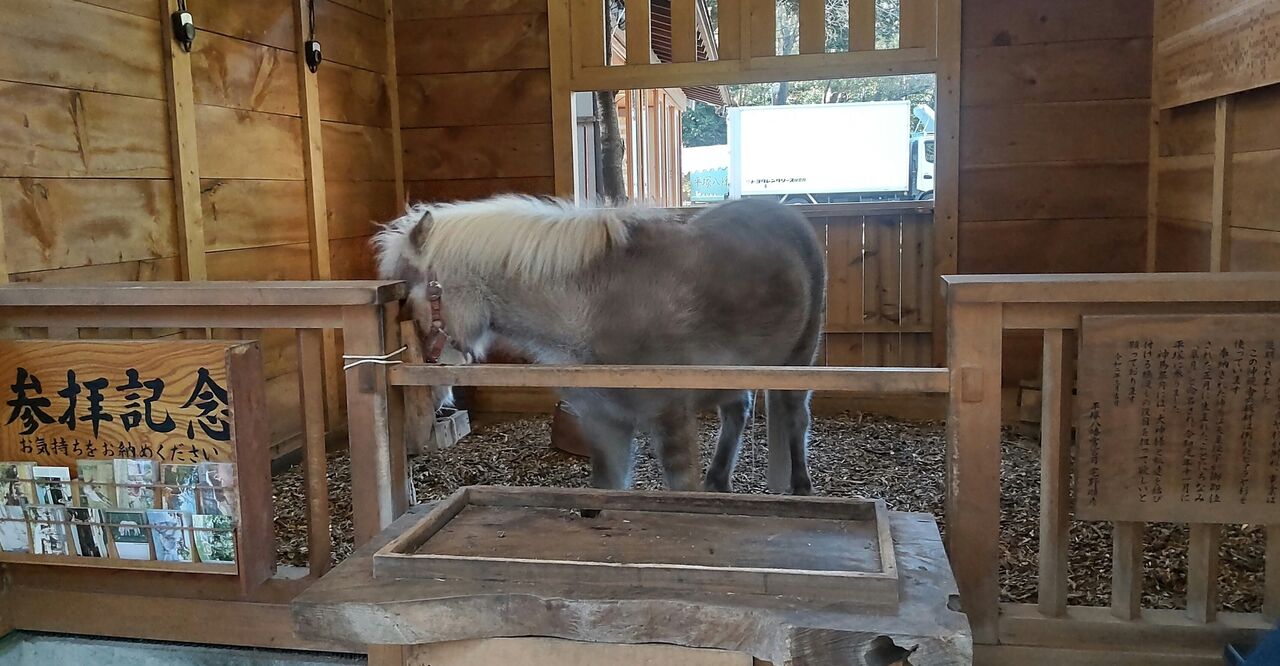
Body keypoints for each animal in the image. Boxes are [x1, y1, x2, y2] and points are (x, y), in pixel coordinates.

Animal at [373, 193, 824, 494]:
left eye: (406, 301)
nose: (424, 398)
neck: (597, 307)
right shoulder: (604, 423)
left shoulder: (671, 417)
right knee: (738, 411)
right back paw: (719, 481)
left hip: (797, 360)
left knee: (796, 417)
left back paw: (801, 486)